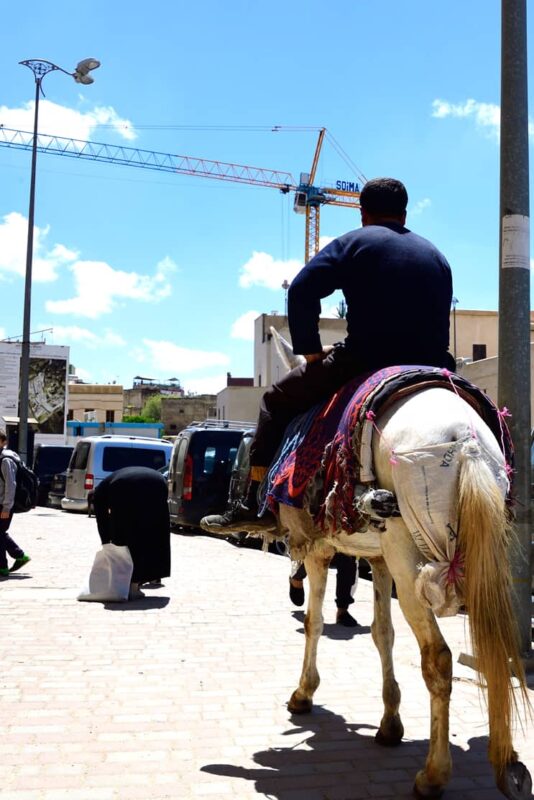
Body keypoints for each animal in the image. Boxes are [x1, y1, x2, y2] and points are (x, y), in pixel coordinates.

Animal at [207, 328, 532, 796]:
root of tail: (466, 441)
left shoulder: (319, 549)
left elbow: (315, 622)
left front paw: (303, 694)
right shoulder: (378, 560)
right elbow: (382, 633)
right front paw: (390, 723)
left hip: (410, 557)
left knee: (438, 657)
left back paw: (434, 775)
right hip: (475, 553)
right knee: (493, 640)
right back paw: (506, 760)